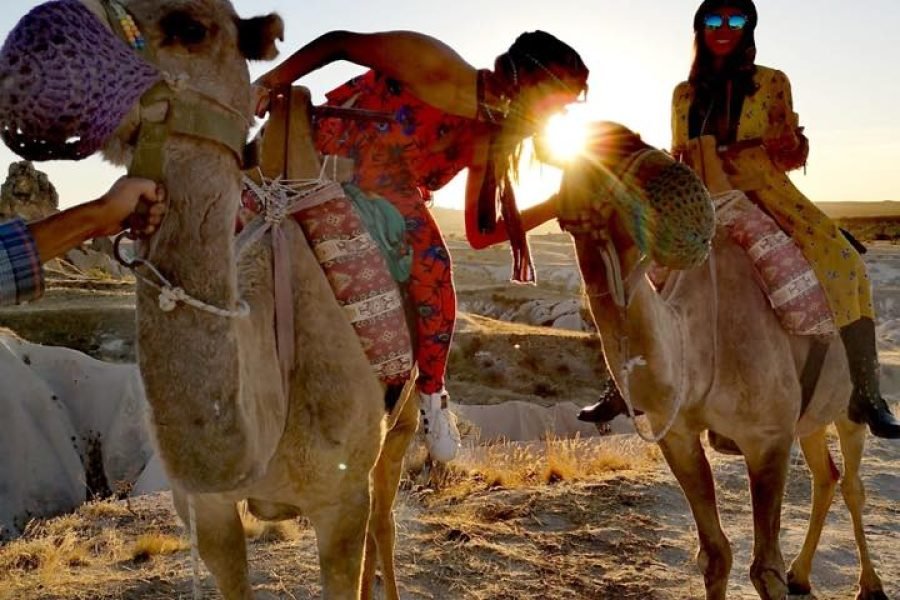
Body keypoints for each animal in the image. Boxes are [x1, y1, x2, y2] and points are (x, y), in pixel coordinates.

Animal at [560, 125, 888, 600]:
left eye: (632, 141)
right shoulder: (677, 434)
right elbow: (715, 556)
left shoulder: (767, 438)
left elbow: (764, 568)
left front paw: (780, 572)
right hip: (810, 416)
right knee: (825, 476)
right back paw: (802, 574)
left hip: (848, 406)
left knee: (852, 484)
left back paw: (870, 584)